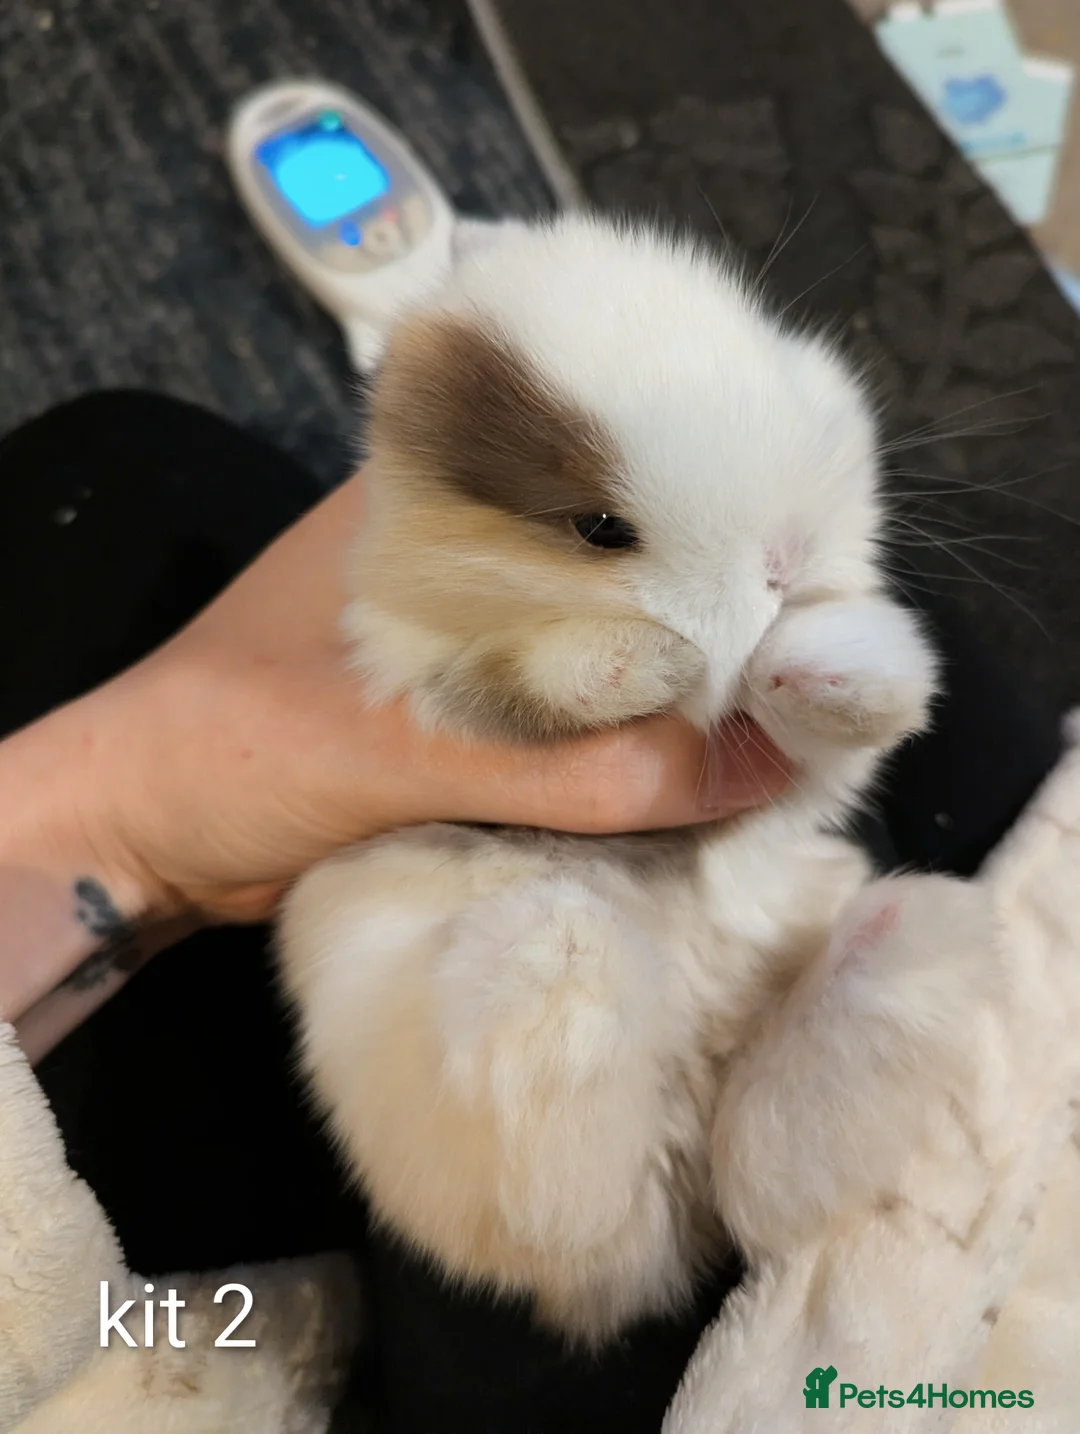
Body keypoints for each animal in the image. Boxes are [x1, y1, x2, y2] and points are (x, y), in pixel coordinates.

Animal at [277, 212, 942, 1345]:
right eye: (599, 528)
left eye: (761, 349)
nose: (785, 555)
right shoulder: (441, 682)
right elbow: (540, 683)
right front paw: (651, 662)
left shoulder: (799, 782)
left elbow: (847, 716)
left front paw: (826, 662)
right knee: (573, 1187)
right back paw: (555, 955)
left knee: (758, 1182)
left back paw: (906, 935)